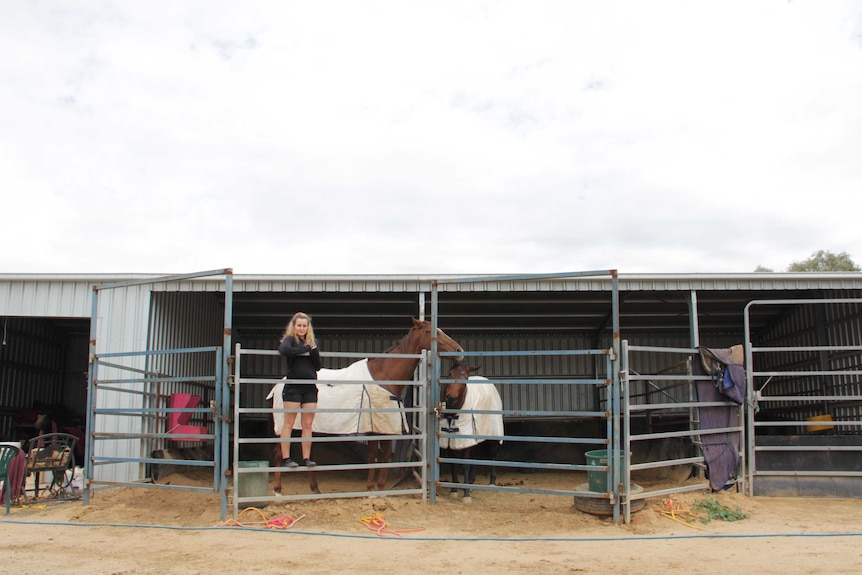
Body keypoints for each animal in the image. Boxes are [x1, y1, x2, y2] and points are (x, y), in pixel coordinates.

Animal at [276, 320, 466, 496]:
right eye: (432, 332)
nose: (459, 351)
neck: (385, 377)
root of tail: (282, 381)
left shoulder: (387, 429)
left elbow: (386, 457)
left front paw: (381, 489)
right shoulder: (373, 429)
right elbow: (373, 457)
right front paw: (370, 490)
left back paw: (315, 489)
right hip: (288, 426)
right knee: (280, 453)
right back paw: (278, 490)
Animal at [442, 362, 502, 502]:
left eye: (466, 378)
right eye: (449, 374)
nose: (450, 398)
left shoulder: (465, 438)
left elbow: (465, 464)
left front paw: (466, 494)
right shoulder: (449, 439)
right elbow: (453, 463)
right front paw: (454, 489)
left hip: (493, 432)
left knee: (493, 453)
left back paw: (491, 482)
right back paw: (471, 480)